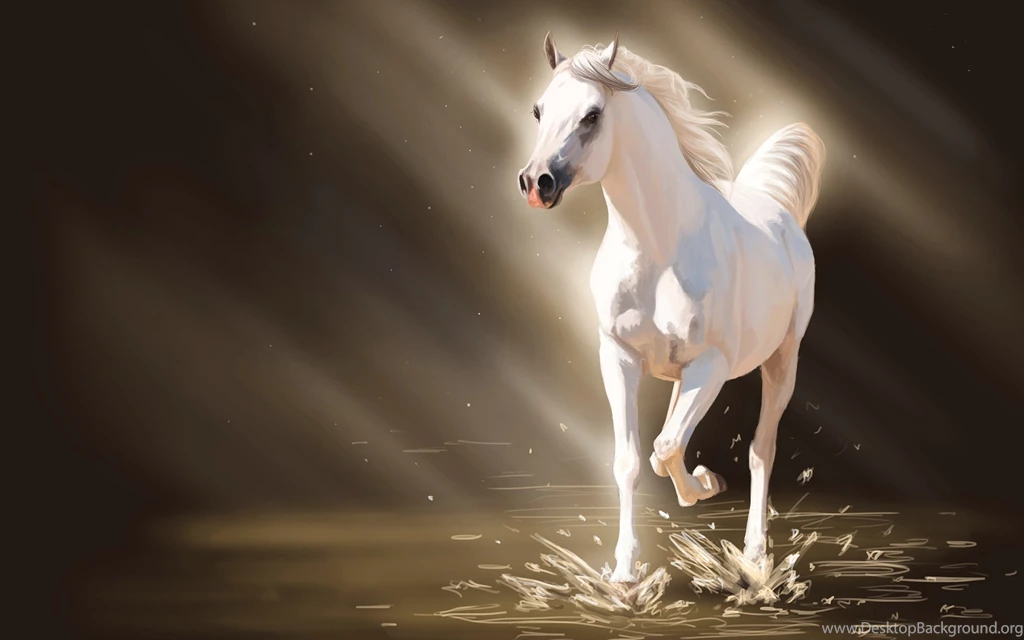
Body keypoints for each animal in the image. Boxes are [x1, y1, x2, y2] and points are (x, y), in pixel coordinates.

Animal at [517, 32, 825, 583]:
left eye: (592, 115)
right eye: (538, 110)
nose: (536, 183)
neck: (659, 250)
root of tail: (780, 213)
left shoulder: (713, 365)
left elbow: (665, 446)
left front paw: (705, 485)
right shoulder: (618, 358)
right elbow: (633, 460)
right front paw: (623, 571)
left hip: (781, 361)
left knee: (761, 450)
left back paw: (753, 554)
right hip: (688, 373)